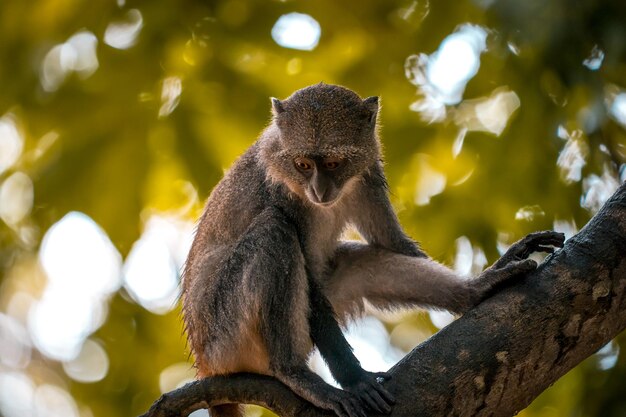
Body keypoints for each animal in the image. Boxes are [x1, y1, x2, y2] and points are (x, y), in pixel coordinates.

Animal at [179, 82, 560, 416]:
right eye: (303, 165)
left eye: (333, 164)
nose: (319, 190)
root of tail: (205, 361)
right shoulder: (282, 194)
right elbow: (309, 282)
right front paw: (356, 381)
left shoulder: (369, 174)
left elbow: (392, 244)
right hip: (225, 330)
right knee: (274, 230)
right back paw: (293, 372)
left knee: (362, 263)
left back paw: (474, 291)